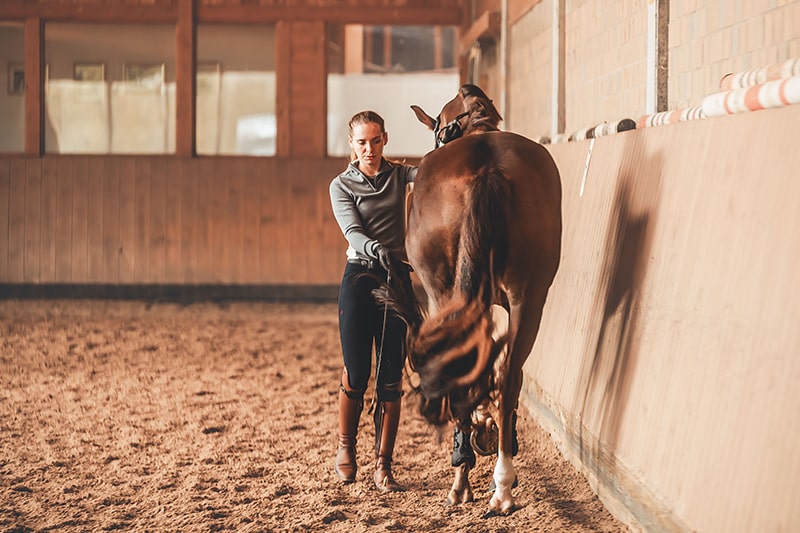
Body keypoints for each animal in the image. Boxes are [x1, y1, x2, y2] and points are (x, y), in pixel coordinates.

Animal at [385, 84, 562, 514]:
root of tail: (488, 168)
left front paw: (477, 432)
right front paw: (489, 426)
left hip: (447, 292)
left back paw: (462, 477)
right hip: (529, 297)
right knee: (510, 375)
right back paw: (503, 486)